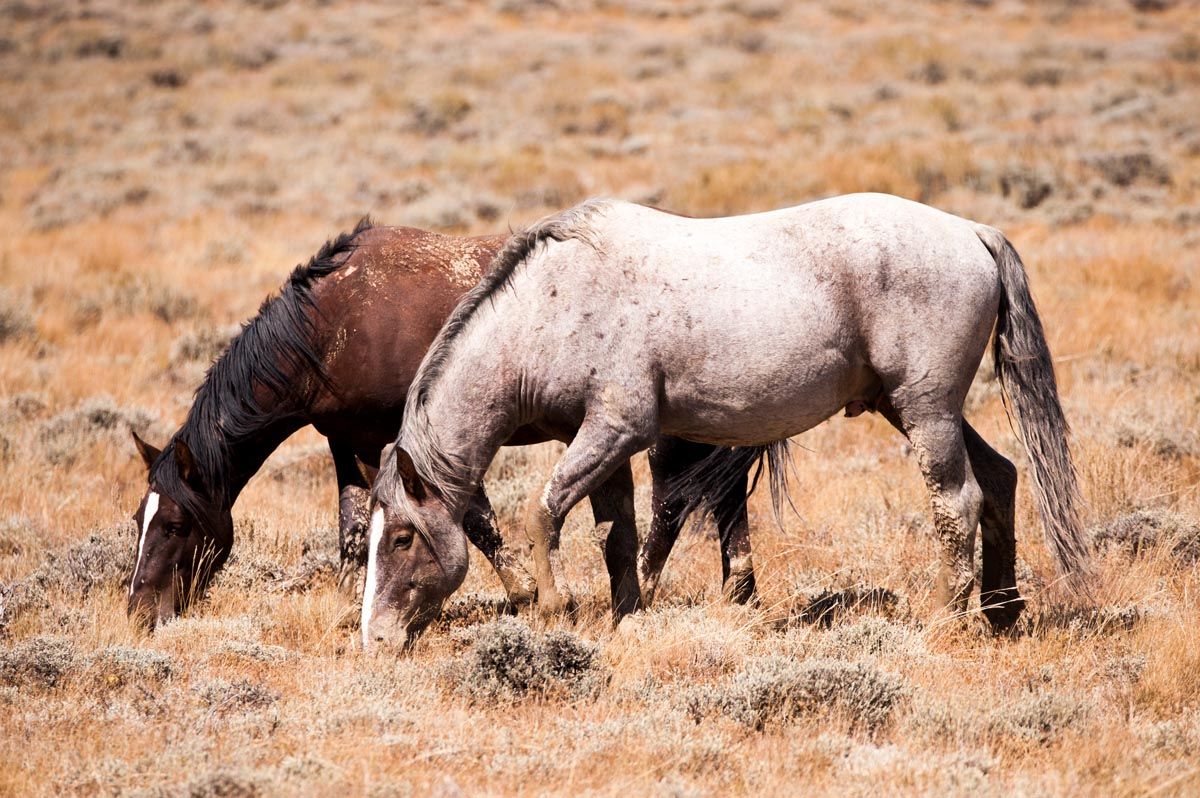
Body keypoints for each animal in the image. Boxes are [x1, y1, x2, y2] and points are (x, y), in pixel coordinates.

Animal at [127, 219, 756, 628]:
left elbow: (477, 523)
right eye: (139, 519)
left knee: (692, 503)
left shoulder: (416, 442)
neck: (334, 328)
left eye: (175, 525)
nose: (137, 609)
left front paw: (526, 592)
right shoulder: (350, 443)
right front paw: (347, 602)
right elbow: (353, 529)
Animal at [363, 192, 1094, 649]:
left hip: (926, 412)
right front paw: (629, 619)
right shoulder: (603, 444)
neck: (552, 303)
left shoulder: (614, 431)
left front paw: (555, 609)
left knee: (957, 501)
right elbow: (619, 535)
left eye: (401, 539)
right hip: (913, 410)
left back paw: (947, 618)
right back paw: (1001, 612)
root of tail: (972, 232)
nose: (374, 638)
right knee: (1000, 479)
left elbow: (544, 514)